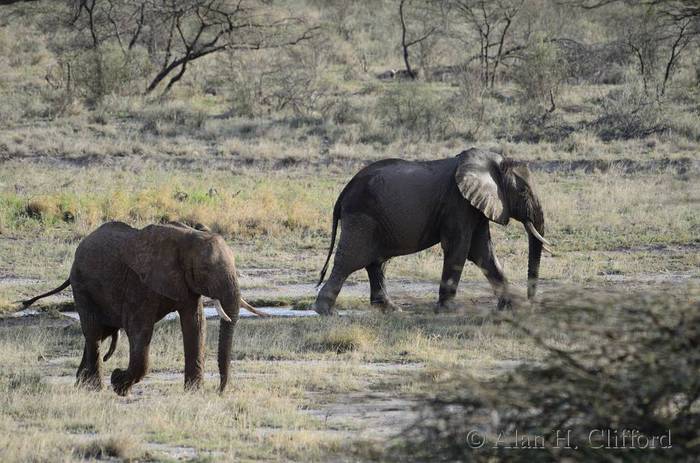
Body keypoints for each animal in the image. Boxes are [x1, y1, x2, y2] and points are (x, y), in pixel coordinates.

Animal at [22, 221, 266, 395]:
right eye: (205, 269)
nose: (220, 392)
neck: (188, 236)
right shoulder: (139, 284)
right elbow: (139, 330)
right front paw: (118, 384)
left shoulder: (184, 284)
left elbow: (195, 324)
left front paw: (193, 392)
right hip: (82, 285)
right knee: (93, 333)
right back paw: (94, 387)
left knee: (97, 334)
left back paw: (81, 384)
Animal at [313, 148, 552, 315]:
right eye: (523, 191)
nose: (531, 303)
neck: (492, 160)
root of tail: (343, 193)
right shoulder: (458, 203)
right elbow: (459, 249)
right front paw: (449, 311)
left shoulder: (474, 208)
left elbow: (483, 253)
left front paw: (508, 308)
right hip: (362, 217)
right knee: (350, 261)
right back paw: (325, 311)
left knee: (376, 263)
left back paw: (391, 309)